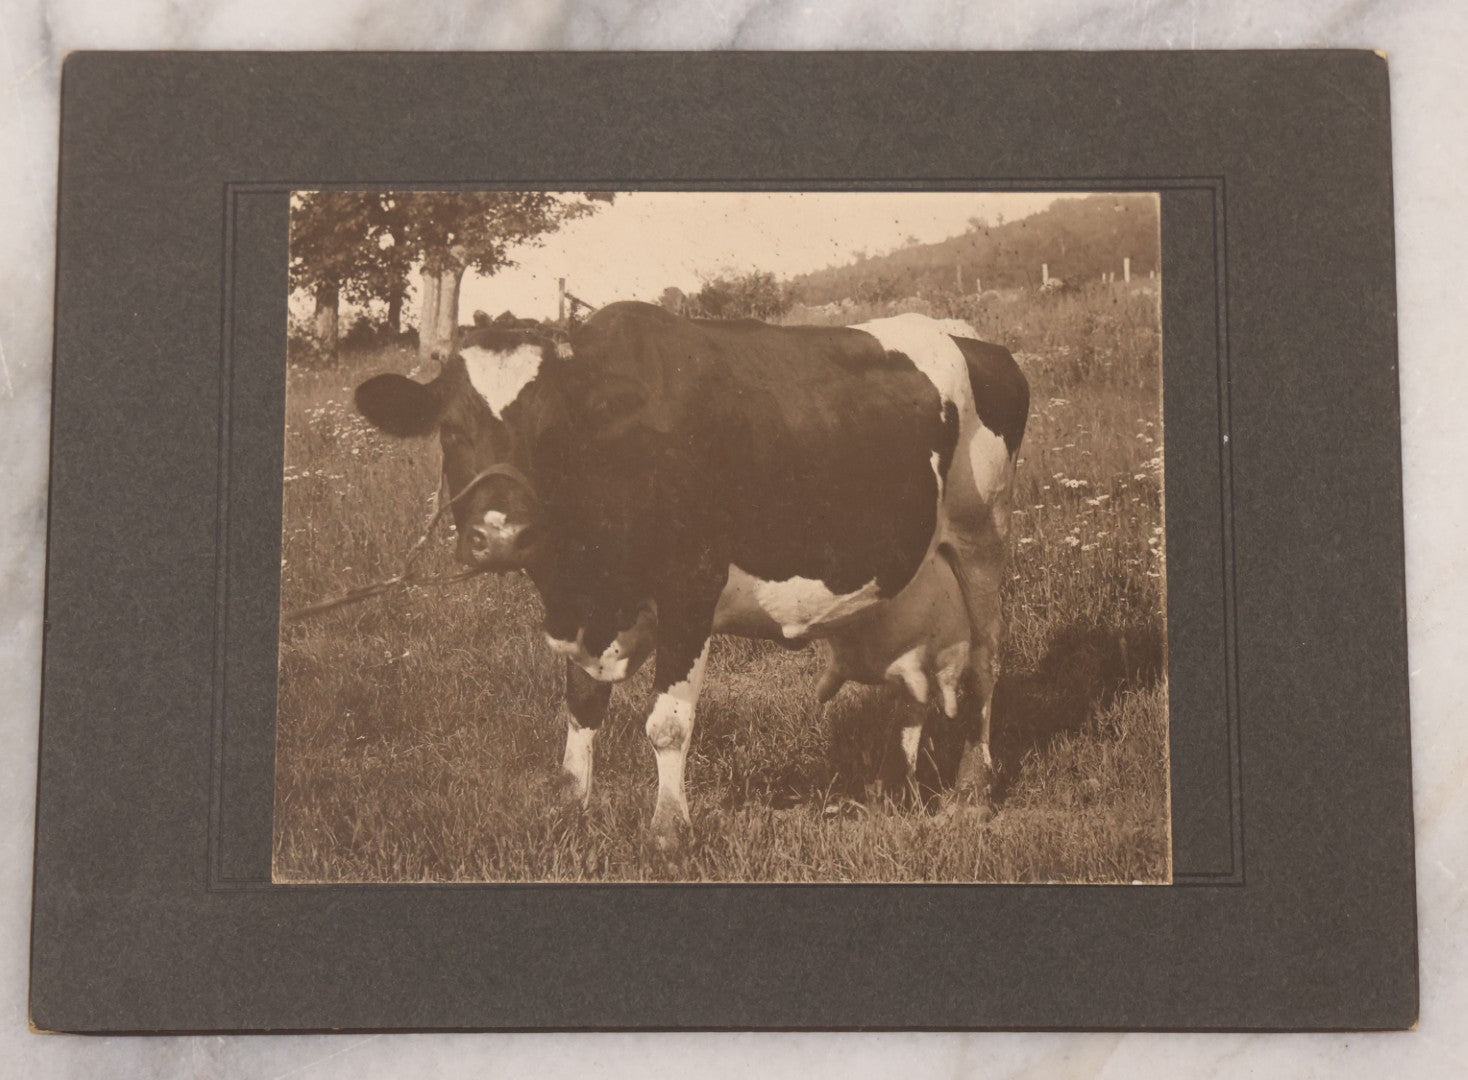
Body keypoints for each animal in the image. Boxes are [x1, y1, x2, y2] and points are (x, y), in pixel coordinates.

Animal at [355, 301, 1028, 849]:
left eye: (552, 435)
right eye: (450, 430)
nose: (501, 535)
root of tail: (970, 337)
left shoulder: (690, 590)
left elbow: (667, 726)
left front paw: (668, 830)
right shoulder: (586, 613)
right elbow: (581, 706)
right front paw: (571, 809)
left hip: (982, 530)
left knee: (986, 658)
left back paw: (971, 791)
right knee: (914, 682)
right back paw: (896, 789)